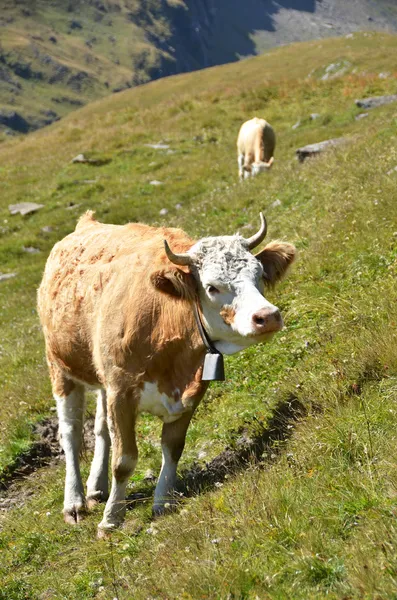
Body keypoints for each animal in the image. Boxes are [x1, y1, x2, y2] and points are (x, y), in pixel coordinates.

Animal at [37, 211, 296, 536]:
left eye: (258, 274)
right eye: (211, 287)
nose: (267, 316)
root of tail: (86, 223)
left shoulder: (190, 391)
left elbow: (172, 448)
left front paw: (163, 501)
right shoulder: (122, 391)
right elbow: (124, 460)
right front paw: (111, 520)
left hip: (101, 376)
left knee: (100, 428)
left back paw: (96, 487)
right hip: (60, 366)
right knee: (70, 433)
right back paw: (74, 502)